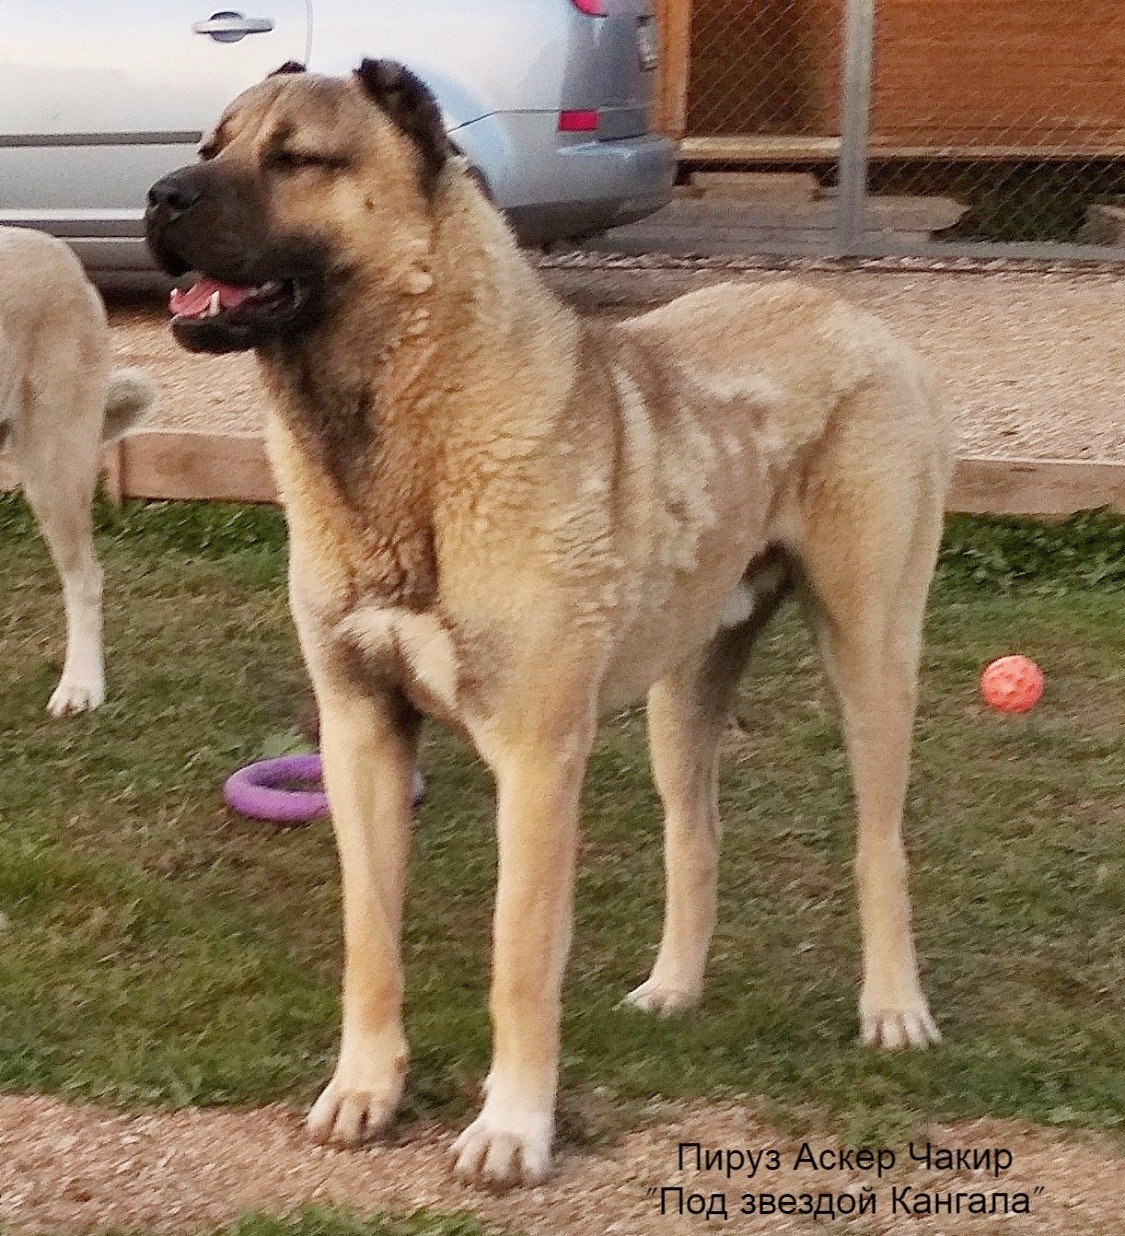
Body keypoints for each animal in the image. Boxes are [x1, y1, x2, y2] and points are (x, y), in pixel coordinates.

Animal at [145, 58, 959, 1186]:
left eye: (298, 157)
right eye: (209, 145)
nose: (158, 196)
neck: (405, 434)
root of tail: (854, 318)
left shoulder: (535, 761)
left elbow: (519, 960)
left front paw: (512, 1127)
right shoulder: (360, 736)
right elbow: (370, 939)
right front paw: (365, 1089)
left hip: (871, 657)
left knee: (881, 846)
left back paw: (893, 1009)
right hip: (682, 690)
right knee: (694, 834)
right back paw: (673, 988)